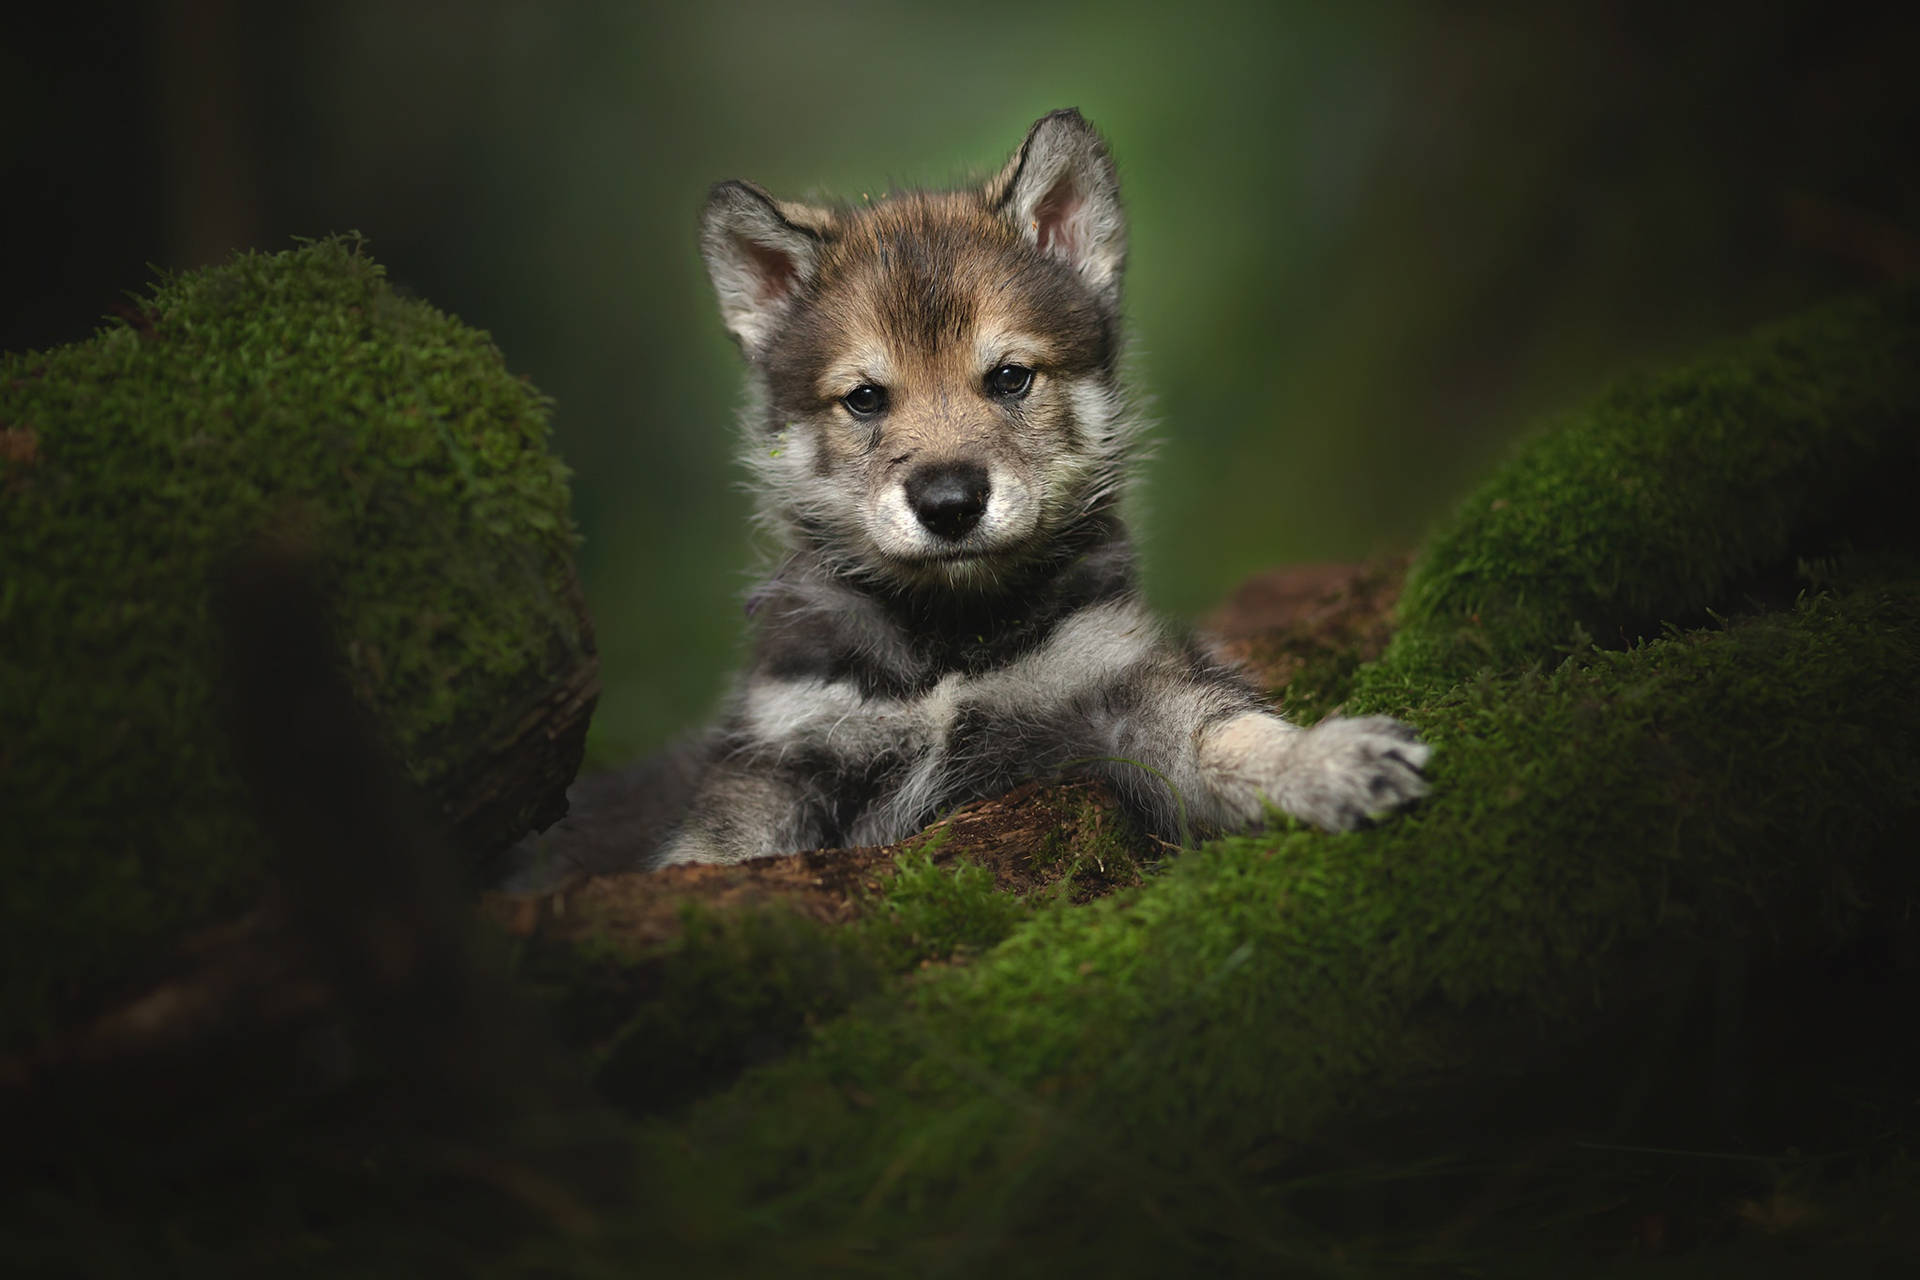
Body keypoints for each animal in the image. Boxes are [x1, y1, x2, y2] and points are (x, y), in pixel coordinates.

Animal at [660, 110, 1428, 871]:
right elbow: (710, 852)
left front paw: (1324, 761)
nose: (949, 506)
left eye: (1009, 377)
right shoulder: (784, 754)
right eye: (866, 398)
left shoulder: (1116, 680)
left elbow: (1224, 733)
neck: (950, 646)